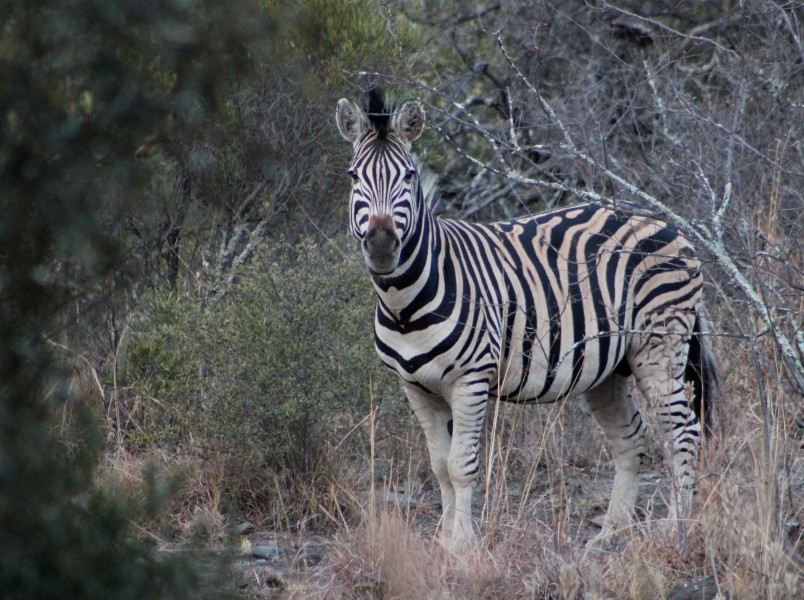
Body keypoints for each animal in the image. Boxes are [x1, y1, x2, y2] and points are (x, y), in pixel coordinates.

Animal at [332, 86, 716, 552]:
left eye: (408, 177)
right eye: (353, 176)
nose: (383, 244)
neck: (403, 303)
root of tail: (664, 222)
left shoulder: (471, 378)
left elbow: (461, 465)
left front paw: (462, 547)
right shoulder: (415, 386)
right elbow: (439, 464)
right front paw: (443, 541)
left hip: (659, 345)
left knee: (683, 432)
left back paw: (675, 529)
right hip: (607, 369)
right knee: (631, 440)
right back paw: (610, 533)